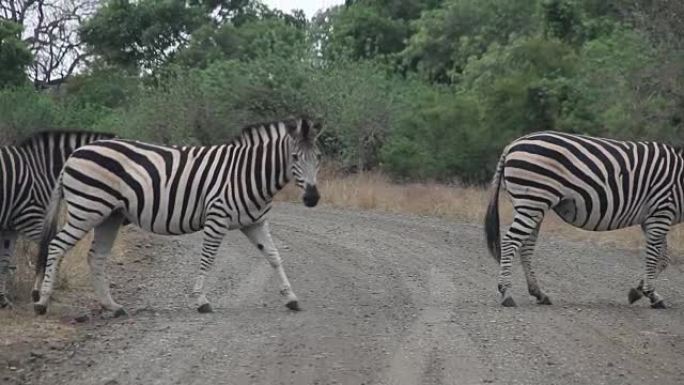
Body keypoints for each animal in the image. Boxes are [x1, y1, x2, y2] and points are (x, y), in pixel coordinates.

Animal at [0, 130, 114, 308]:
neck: (41, 169)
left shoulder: (10, 227)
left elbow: (4, 262)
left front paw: (3, 300)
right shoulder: (31, 218)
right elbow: (48, 250)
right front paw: (42, 292)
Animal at [36, 116, 324, 316]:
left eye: (319, 157)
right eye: (294, 157)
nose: (312, 198)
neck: (247, 173)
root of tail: (74, 154)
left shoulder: (255, 223)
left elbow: (274, 257)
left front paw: (291, 298)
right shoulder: (217, 218)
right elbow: (207, 259)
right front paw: (201, 300)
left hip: (110, 216)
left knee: (95, 257)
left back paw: (112, 306)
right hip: (87, 209)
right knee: (56, 245)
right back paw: (42, 302)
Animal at [484, 130, 680, 308]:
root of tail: (513, 144)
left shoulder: (651, 218)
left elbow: (663, 260)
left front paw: (638, 291)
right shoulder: (662, 210)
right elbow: (655, 258)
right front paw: (650, 294)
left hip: (533, 205)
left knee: (525, 246)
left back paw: (538, 293)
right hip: (533, 199)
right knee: (510, 241)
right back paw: (506, 293)